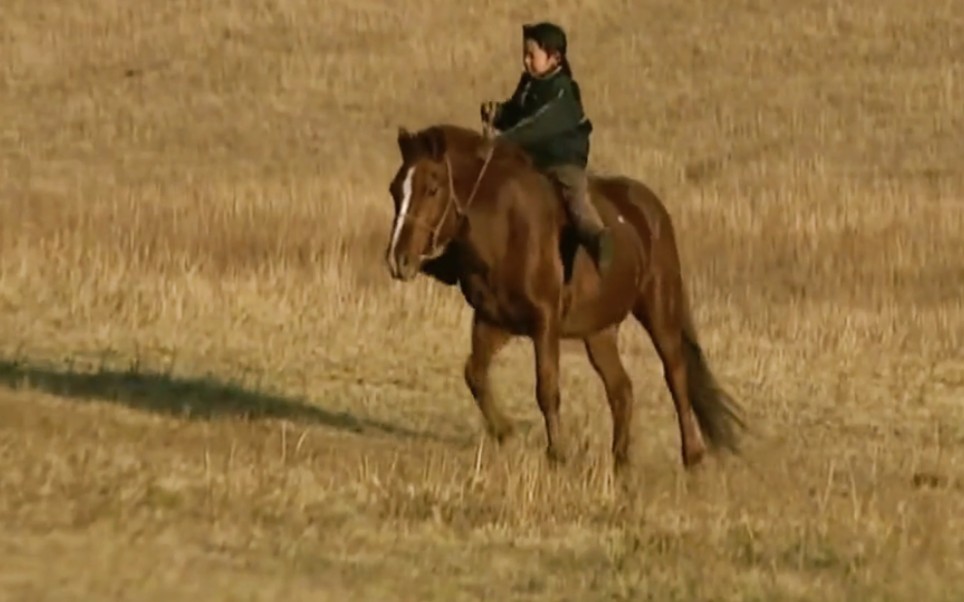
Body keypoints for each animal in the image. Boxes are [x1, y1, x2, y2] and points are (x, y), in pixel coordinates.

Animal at [384, 123, 744, 468]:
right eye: (394, 189)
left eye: (432, 189)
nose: (397, 260)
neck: (504, 228)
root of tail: (652, 210)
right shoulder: (494, 321)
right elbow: (475, 374)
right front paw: (505, 431)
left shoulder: (544, 323)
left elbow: (547, 387)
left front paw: (557, 452)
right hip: (599, 331)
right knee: (622, 389)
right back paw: (621, 459)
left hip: (659, 310)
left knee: (676, 375)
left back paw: (692, 456)